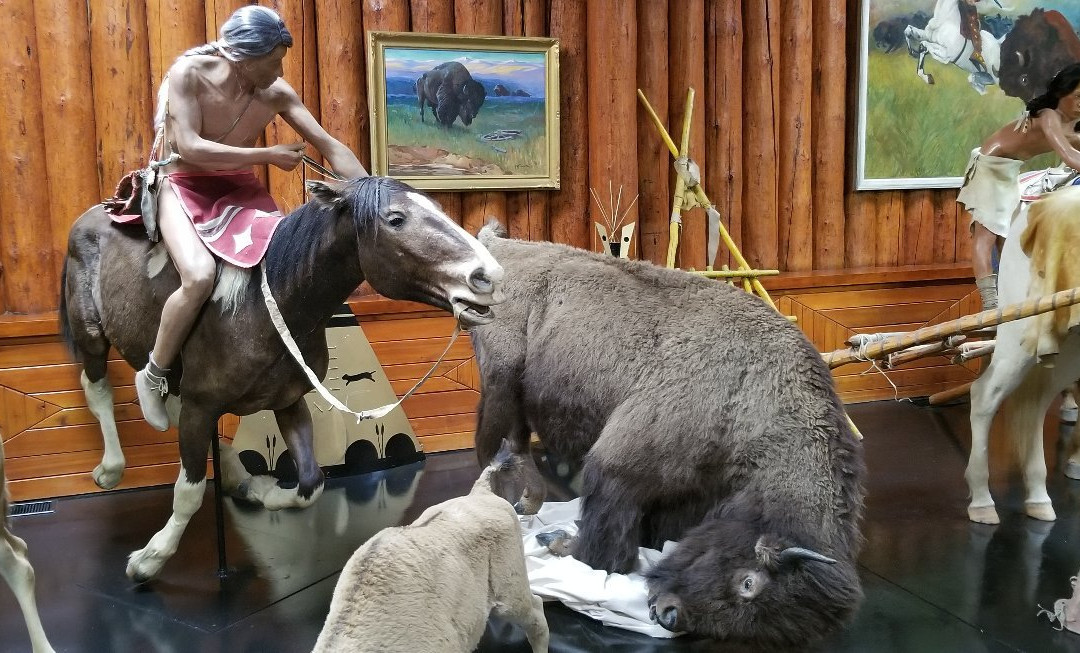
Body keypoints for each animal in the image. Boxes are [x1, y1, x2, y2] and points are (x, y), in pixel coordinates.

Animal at [469, 225, 866, 646]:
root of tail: (499, 244)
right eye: (748, 583)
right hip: (498, 382)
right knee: (492, 447)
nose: (670, 614)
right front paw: (565, 546)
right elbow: (608, 545)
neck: (759, 400)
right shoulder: (619, 467)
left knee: (517, 443)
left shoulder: (690, 491)